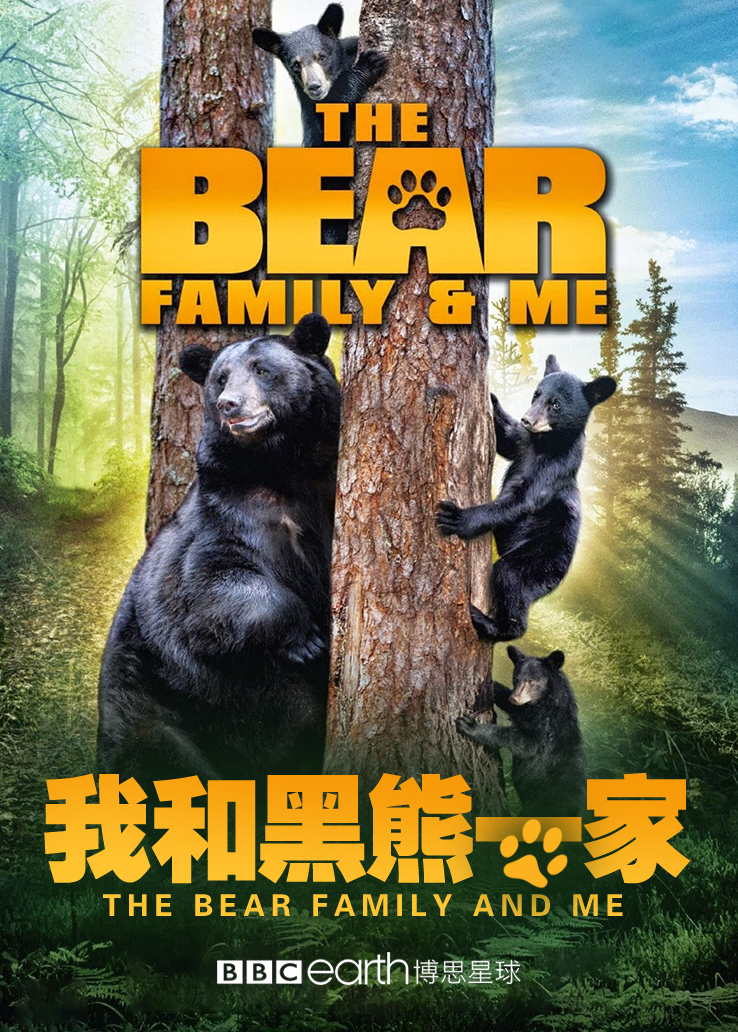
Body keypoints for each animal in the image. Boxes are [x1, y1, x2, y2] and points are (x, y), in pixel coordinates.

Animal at [97, 314, 340, 785]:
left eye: (263, 369)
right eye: (220, 378)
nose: (231, 404)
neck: (282, 463)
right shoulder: (225, 513)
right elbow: (212, 588)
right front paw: (305, 638)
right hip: (155, 713)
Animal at [436, 356, 616, 643]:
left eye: (556, 404)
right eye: (536, 395)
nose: (527, 419)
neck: (543, 444)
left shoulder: (554, 469)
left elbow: (520, 500)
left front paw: (459, 518)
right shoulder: (523, 443)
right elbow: (507, 440)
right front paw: (491, 397)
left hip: (542, 558)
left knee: (511, 578)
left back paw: (489, 623)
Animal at [456, 646, 586, 818]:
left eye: (531, 681)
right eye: (515, 678)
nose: (515, 698)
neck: (546, 701)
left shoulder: (545, 726)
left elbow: (523, 742)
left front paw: (470, 726)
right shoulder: (525, 709)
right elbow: (511, 706)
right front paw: (490, 685)